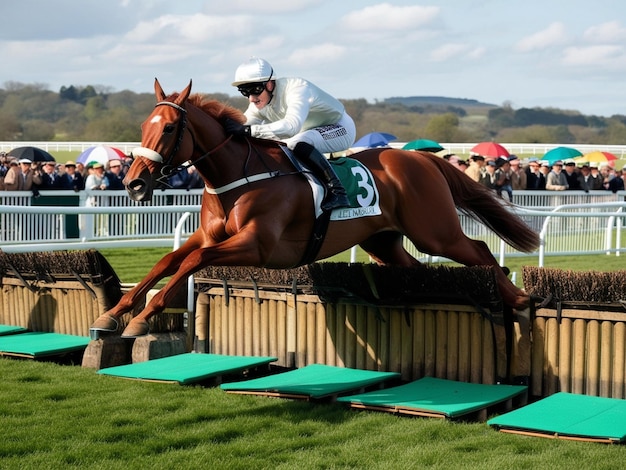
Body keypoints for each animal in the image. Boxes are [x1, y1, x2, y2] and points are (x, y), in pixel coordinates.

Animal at [90, 80, 540, 338]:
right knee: (417, 268)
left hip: (435, 231)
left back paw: (519, 299)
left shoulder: (257, 245)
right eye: (143, 127)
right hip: (383, 241)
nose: (133, 183)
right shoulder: (209, 235)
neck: (238, 176)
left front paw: (144, 317)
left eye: (169, 128)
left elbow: (192, 261)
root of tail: (422, 159)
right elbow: (168, 261)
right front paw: (115, 313)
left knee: (478, 251)